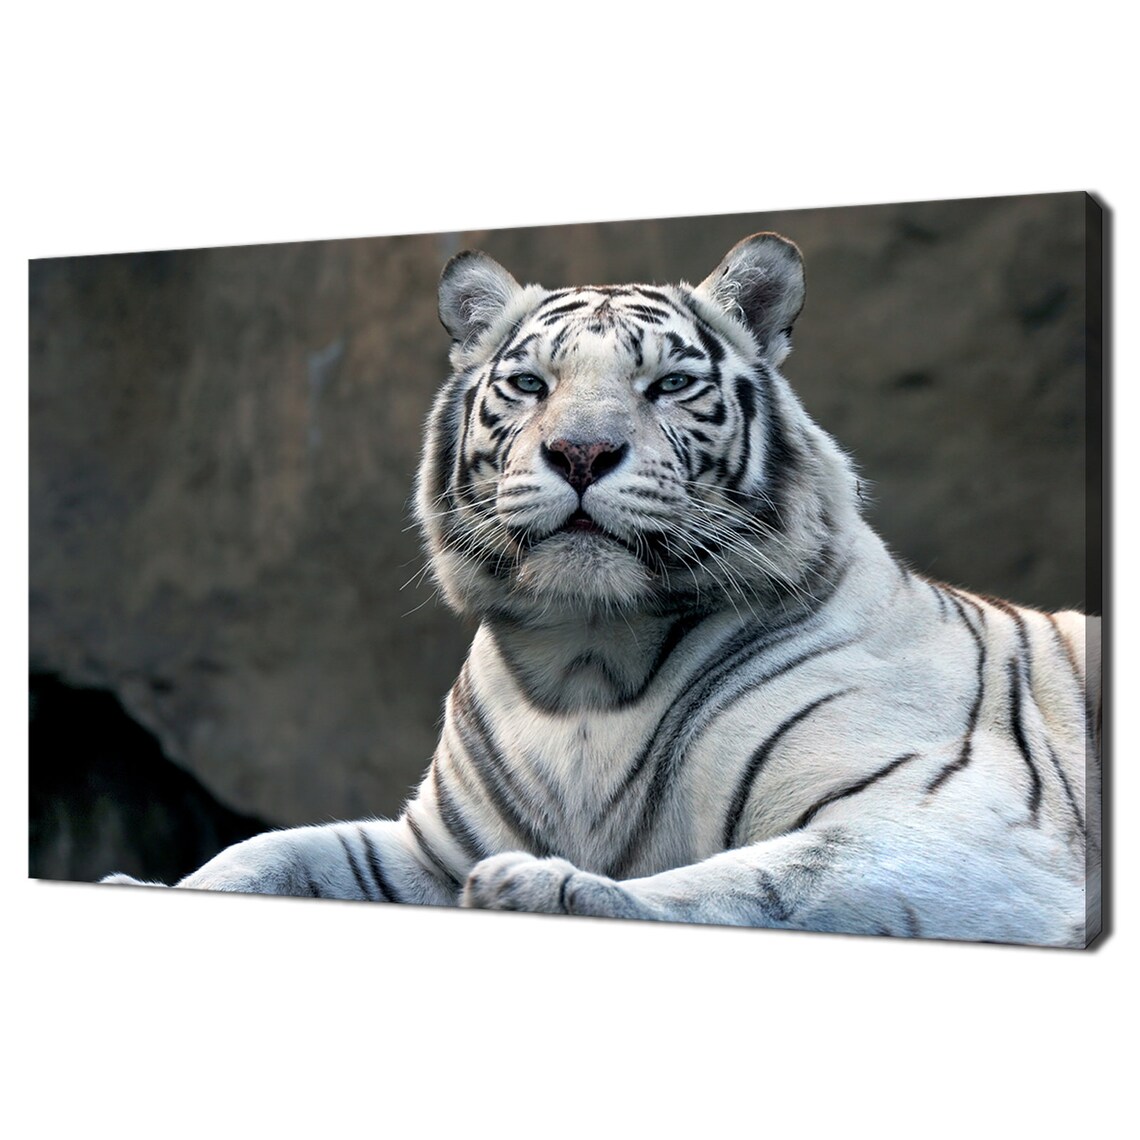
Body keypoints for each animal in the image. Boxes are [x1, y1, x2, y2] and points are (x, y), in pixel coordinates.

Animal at [102, 232, 1101, 948]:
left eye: (669, 384)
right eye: (529, 383)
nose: (581, 452)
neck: (585, 662)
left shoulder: (955, 826)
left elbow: (759, 882)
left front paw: (541, 886)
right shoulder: (429, 849)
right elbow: (268, 853)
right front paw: (140, 885)